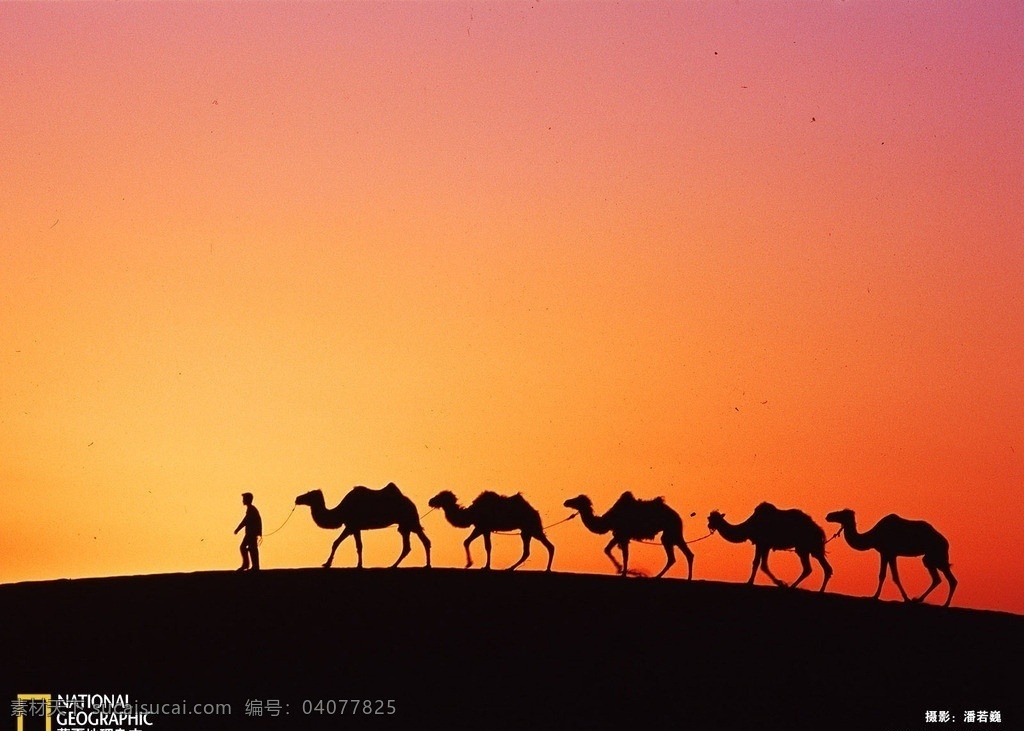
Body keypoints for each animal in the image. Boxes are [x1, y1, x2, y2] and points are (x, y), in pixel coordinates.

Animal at [294, 483, 430, 569]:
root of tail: (411, 503)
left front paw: (328, 564)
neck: (341, 510)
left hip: (409, 520)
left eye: (309, 494)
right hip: (405, 524)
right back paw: (397, 565)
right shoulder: (354, 527)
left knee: (420, 541)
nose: (297, 498)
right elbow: (355, 545)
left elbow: (341, 543)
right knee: (412, 544)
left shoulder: (351, 526)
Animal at [561, 493, 696, 577]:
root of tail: (678, 517)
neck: (609, 519)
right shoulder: (618, 534)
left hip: (671, 531)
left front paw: (628, 572)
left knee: (677, 556)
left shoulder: (623, 534)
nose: (566, 502)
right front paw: (621, 570)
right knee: (685, 555)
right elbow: (607, 549)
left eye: (578, 500)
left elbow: (625, 555)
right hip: (672, 533)